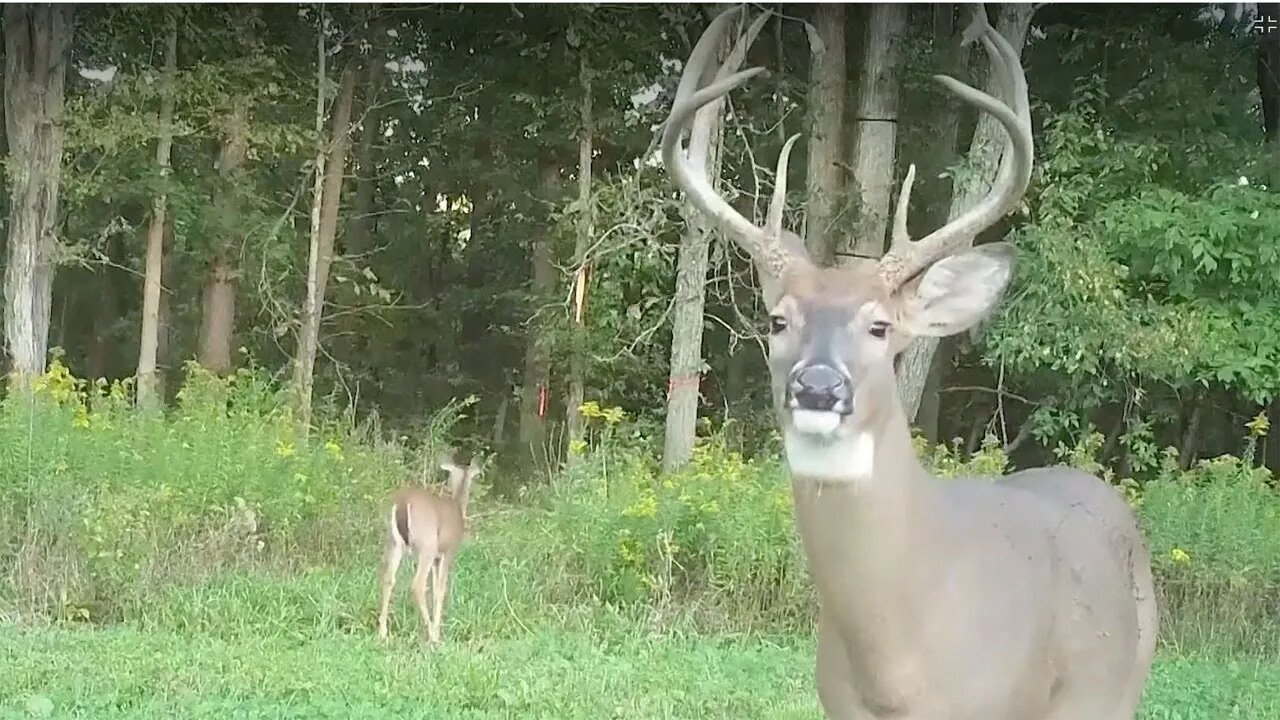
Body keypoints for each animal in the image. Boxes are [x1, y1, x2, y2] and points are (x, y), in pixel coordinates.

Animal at [378, 450, 483, 640]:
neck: (458, 506)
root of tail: (402, 504)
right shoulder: (448, 550)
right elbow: (441, 589)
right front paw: (437, 630)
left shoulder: (436, 558)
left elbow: (435, 589)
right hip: (426, 545)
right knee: (417, 584)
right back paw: (432, 636)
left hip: (394, 541)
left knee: (388, 577)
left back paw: (383, 632)